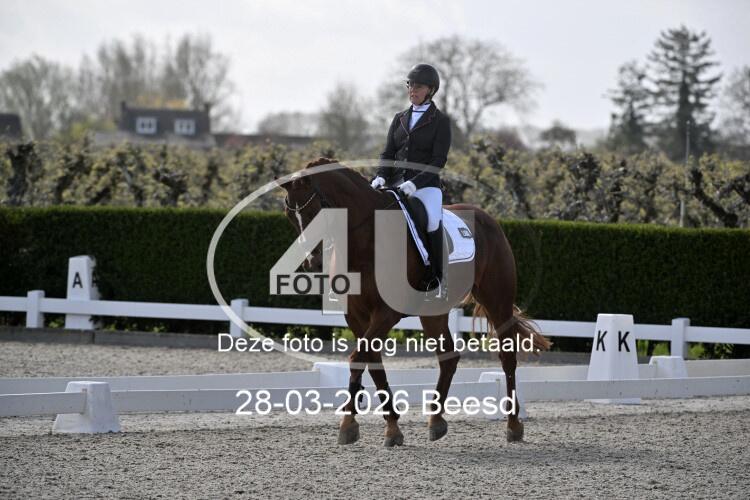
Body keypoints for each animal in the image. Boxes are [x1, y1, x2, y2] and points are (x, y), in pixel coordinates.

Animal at [279, 158, 550, 446]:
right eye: (289, 216)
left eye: (316, 212)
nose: (312, 263)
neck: (366, 240)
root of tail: (489, 219)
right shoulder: (355, 315)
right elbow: (371, 361)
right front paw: (386, 427)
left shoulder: (386, 313)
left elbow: (358, 357)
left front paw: (351, 424)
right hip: (434, 312)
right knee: (448, 357)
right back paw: (436, 421)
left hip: (497, 300)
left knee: (507, 357)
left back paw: (513, 425)